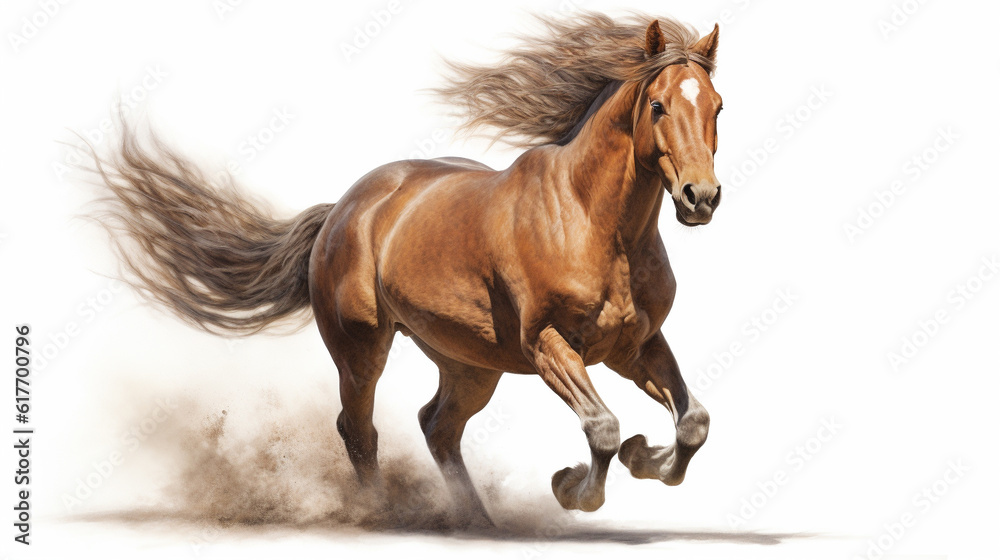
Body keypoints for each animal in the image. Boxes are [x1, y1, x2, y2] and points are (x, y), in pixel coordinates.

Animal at [86, 13, 723, 528]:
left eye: (717, 106)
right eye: (659, 105)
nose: (701, 198)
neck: (593, 224)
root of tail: (341, 210)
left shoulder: (633, 346)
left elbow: (692, 421)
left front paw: (644, 455)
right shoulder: (547, 343)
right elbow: (603, 428)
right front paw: (570, 487)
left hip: (471, 363)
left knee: (436, 425)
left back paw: (477, 522)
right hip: (362, 348)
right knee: (359, 428)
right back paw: (380, 514)